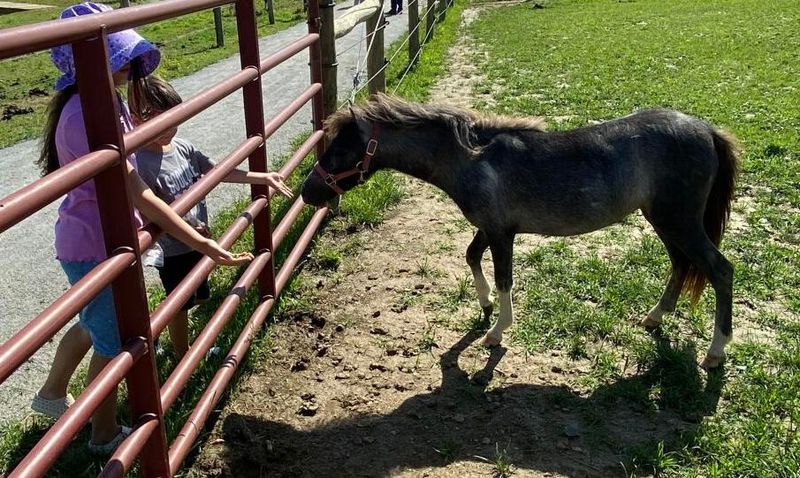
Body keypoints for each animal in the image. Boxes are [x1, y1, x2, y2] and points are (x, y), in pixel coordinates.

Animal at [301, 94, 740, 369]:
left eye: (339, 150)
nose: (308, 192)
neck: (471, 157)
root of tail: (707, 130)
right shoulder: (489, 227)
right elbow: (471, 257)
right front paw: (483, 306)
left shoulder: (501, 233)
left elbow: (504, 279)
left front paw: (496, 332)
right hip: (665, 221)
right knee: (681, 265)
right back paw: (654, 318)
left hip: (679, 221)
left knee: (720, 270)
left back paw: (715, 353)